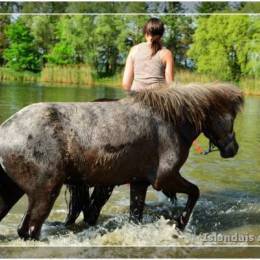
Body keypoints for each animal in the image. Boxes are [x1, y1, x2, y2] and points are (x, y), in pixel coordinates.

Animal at [0, 83, 244, 240]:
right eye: (231, 118)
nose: (233, 149)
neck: (170, 121)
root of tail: (6, 130)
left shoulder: (139, 182)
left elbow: (136, 215)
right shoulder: (166, 178)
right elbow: (195, 192)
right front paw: (180, 223)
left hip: (11, 192)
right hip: (44, 194)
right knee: (29, 231)